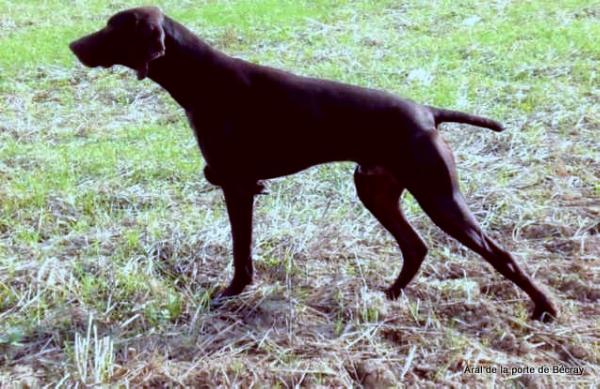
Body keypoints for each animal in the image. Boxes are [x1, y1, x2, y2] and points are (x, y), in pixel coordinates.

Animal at [71, 6, 556, 322]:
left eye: (113, 27)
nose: (73, 45)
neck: (205, 80)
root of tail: (427, 112)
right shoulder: (242, 186)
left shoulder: (237, 185)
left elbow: (241, 253)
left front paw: (230, 295)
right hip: (376, 191)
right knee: (415, 247)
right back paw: (390, 295)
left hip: (438, 196)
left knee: (500, 254)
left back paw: (545, 308)